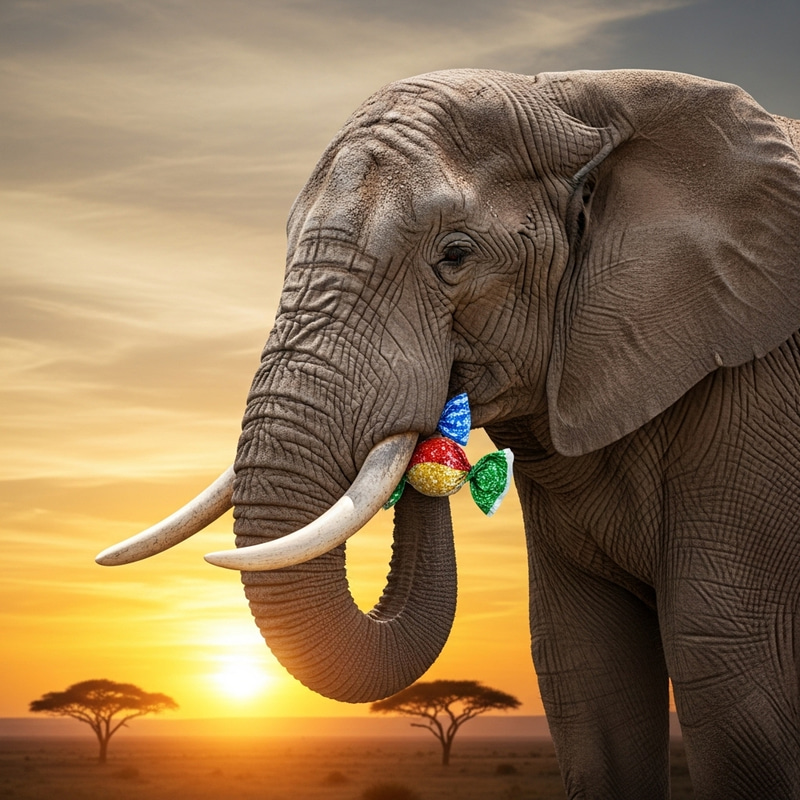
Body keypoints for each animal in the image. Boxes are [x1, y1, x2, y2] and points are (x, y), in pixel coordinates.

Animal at [97, 69, 800, 799]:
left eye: (455, 256)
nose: (434, 429)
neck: (585, 99)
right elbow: (586, 668)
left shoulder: (754, 401)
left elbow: (724, 663)